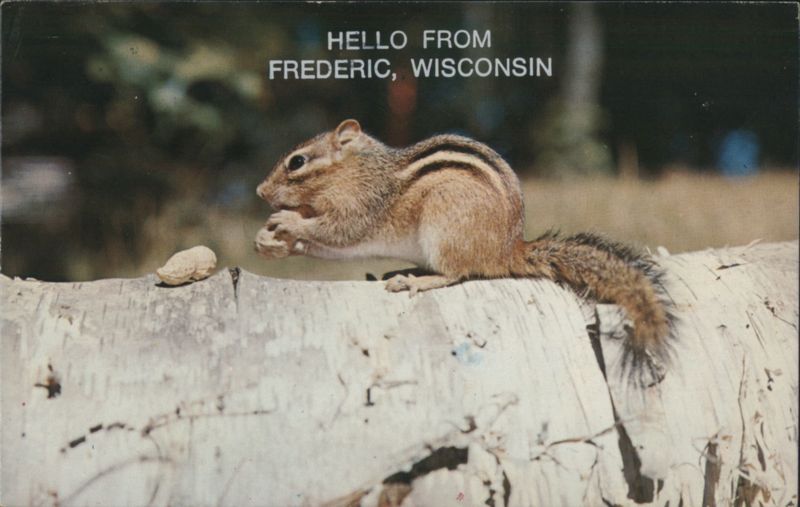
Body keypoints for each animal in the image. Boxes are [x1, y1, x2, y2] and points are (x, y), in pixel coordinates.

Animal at [255, 119, 673, 381]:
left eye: (297, 162)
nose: (259, 192)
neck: (355, 171)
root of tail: (507, 250)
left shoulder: (361, 209)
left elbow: (337, 232)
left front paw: (287, 222)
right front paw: (268, 238)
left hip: (444, 228)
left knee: (456, 273)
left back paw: (415, 281)